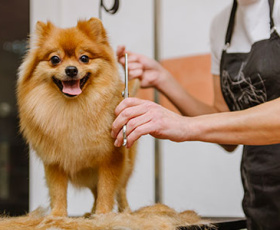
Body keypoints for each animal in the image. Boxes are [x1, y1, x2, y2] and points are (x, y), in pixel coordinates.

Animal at [16, 17, 137, 216]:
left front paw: (103, 215)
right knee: (95, 190)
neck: (73, 108)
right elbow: (58, 191)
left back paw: (124, 211)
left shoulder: (111, 158)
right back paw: (90, 213)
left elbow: (107, 189)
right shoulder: (54, 161)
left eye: (84, 58)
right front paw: (57, 215)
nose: (71, 69)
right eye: (55, 59)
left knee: (120, 190)